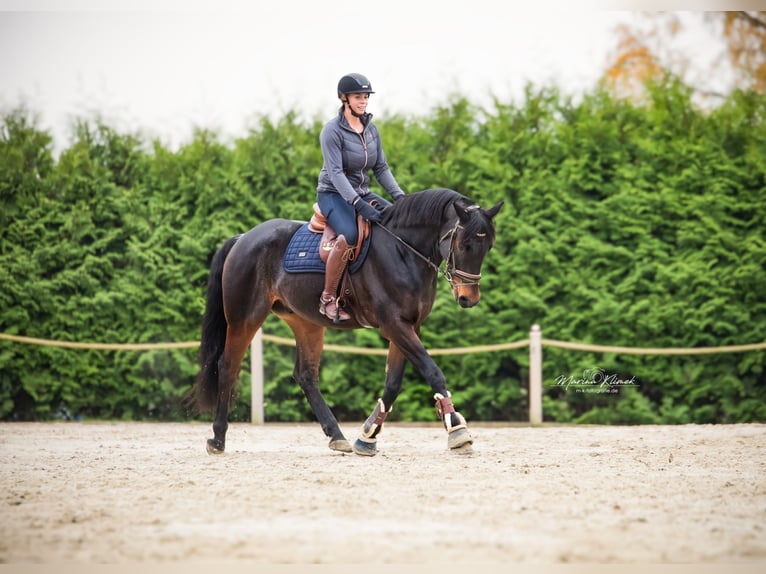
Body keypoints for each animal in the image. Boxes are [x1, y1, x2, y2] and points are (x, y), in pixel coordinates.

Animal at [192, 189, 504, 460]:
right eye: (464, 244)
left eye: (488, 246)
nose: (468, 298)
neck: (402, 251)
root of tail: (244, 237)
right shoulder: (394, 325)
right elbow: (433, 372)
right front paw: (457, 429)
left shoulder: (409, 326)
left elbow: (393, 383)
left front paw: (367, 436)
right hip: (244, 318)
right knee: (228, 366)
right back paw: (217, 438)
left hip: (306, 323)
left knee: (306, 375)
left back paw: (336, 435)